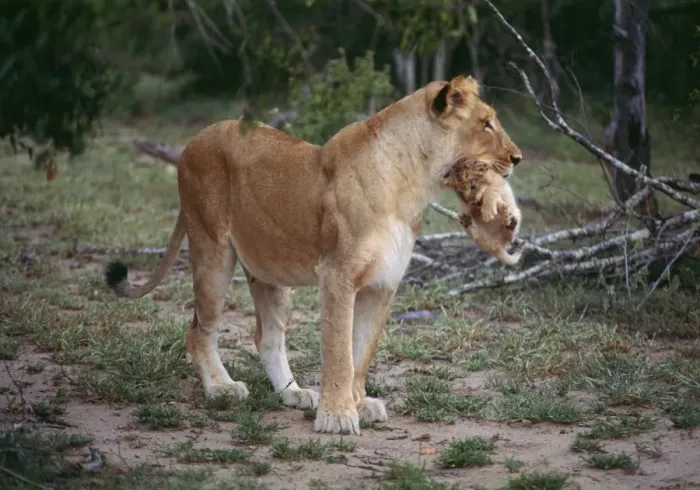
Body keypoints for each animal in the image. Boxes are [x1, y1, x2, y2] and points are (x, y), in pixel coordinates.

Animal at [104, 75, 522, 435]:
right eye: (487, 124)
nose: (517, 158)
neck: (412, 184)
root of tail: (196, 138)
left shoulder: (383, 283)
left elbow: (361, 352)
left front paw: (358, 402)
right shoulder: (337, 274)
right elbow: (339, 352)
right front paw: (337, 416)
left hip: (270, 272)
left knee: (267, 337)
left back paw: (293, 393)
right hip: (212, 250)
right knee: (197, 331)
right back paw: (222, 388)